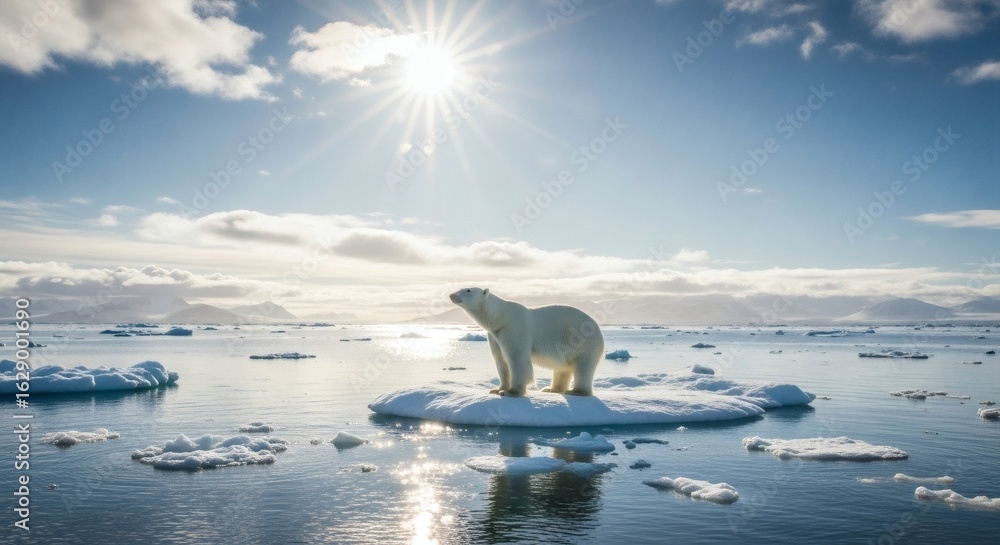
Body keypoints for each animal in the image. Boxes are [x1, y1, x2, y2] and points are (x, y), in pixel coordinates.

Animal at [449, 287, 604, 397]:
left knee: (583, 366)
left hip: (585, 342)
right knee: (562, 368)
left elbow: (517, 358)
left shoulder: (514, 328)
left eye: (468, 290)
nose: (451, 295)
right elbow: (500, 361)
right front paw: (497, 389)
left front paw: (512, 392)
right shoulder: (495, 335)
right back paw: (551, 389)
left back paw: (577, 391)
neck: (500, 317)